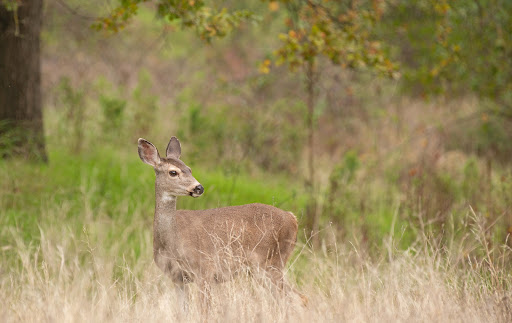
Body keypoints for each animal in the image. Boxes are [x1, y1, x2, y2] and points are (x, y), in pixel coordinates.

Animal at [136, 137, 304, 308]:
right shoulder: (178, 278)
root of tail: (292, 218)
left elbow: (204, 310)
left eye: (189, 169)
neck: (172, 240)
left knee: (297, 297)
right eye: (173, 172)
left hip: (270, 261)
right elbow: (183, 310)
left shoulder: (205, 270)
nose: (199, 188)